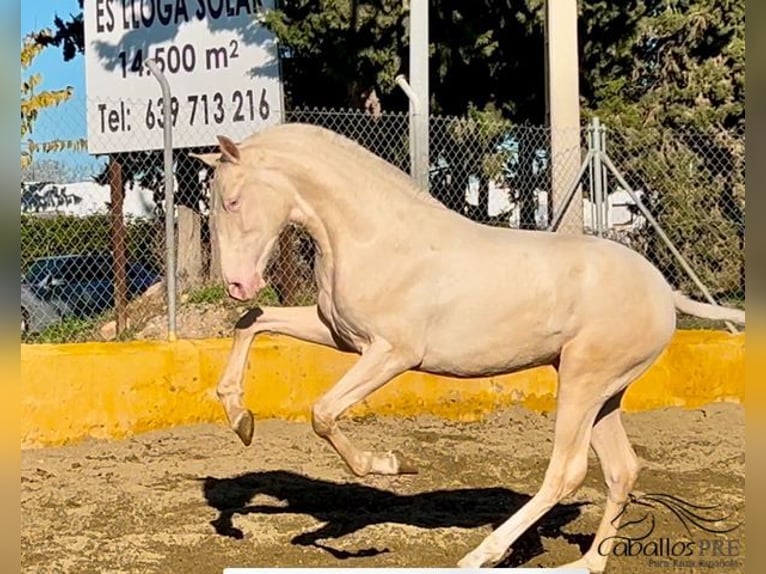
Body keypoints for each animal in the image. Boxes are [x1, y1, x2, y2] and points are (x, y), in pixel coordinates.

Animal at [190, 124, 744, 572]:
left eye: (232, 201)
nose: (236, 284)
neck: (373, 236)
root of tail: (663, 291)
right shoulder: (341, 334)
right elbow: (252, 323)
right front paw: (241, 420)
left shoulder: (392, 353)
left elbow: (323, 412)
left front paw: (393, 466)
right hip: (603, 393)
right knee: (621, 469)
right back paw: (583, 564)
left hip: (584, 382)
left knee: (566, 472)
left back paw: (482, 554)